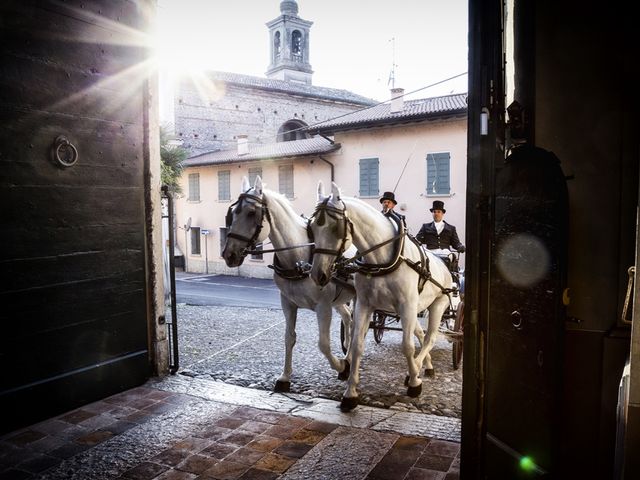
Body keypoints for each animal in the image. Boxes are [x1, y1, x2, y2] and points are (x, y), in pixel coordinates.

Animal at [220, 177, 350, 394]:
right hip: (339, 300)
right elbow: (289, 338)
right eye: (233, 213)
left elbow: (323, 344)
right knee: (349, 319)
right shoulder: (288, 303)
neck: (298, 258)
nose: (229, 255)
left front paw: (341, 366)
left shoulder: (323, 307)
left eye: (251, 213)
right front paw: (285, 377)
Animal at [308, 182, 450, 410]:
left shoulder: (407, 305)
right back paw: (425, 365)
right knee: (421, 334)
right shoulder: (364, 305)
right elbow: (357, 345)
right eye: (311, 227)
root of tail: (444, 262)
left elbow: (407, 346)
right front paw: (350, 393)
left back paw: (418, 369)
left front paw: (414, 384)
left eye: (335, 227)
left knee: (429, 338)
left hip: (437, 304)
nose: (317, 274)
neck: (382, 259)